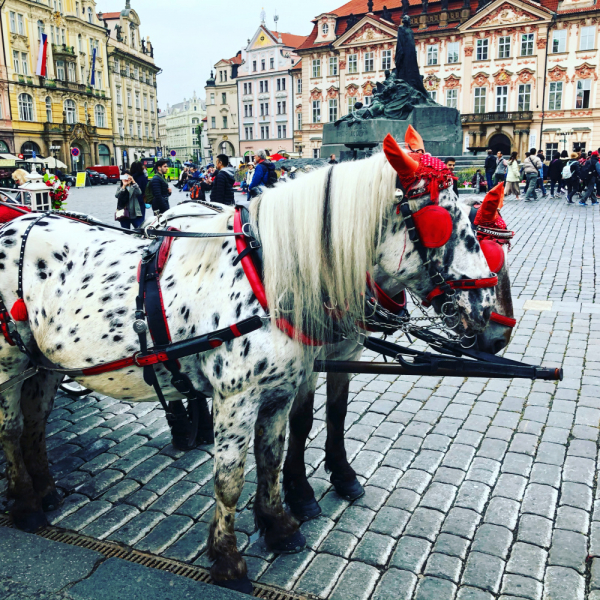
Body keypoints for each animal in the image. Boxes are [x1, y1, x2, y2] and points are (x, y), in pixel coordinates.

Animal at [282, 192, 516, 520]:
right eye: (488, 255)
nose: (500, 339)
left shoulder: (347, 350)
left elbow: (337, 411)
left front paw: (343, 473)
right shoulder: (305, 360)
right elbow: (301, 420)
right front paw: (299, 491)